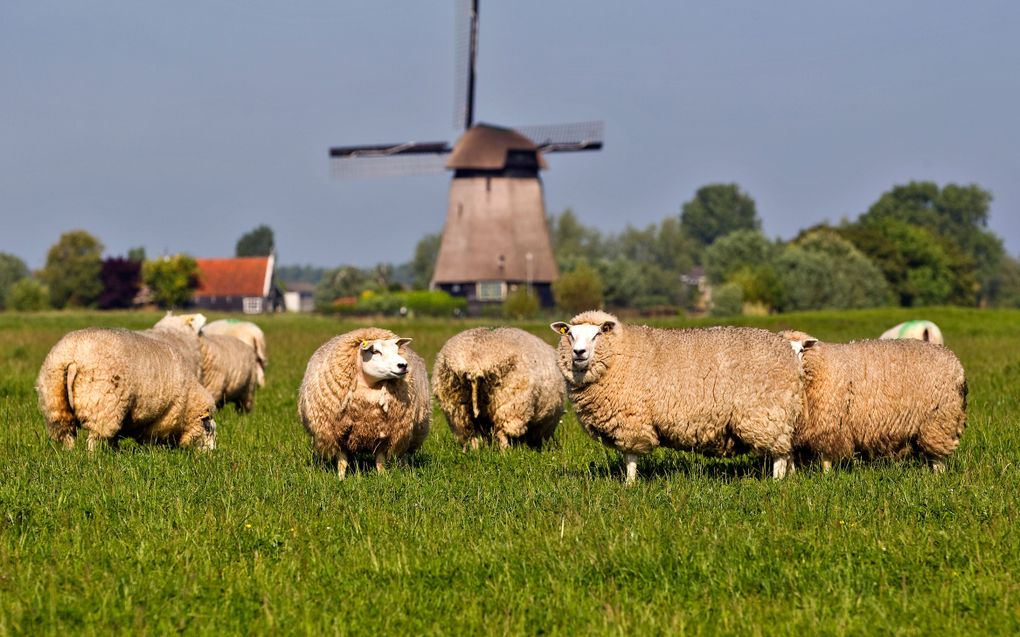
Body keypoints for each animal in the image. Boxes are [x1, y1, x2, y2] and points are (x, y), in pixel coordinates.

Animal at [35, 326, 217, 450]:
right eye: (208, 429)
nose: (211, 455)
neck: (188, 401)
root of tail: (74, 356)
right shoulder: (162, 417)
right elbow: (150, 440)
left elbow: (115, 437)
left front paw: (115, 452)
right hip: (103, 405)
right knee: (93, 438)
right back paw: (93, 459)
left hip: (55, 403)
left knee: (67, 435)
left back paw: (70, 455)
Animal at [299, 328, 432, 476]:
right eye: (375, 351)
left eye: (397, 350)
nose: (403, 365)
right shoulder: (336, 435)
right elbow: (342, 461)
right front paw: (340, 478)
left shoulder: (385, 434)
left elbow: (380, 461)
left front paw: (383, 477)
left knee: (404, 455)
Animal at [434, 326, 571, 450]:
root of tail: (475, 362)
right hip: (510, 403)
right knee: (502, 432)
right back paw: (506, 451)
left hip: (456, 406)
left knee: (469, 432)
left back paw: (473, 451)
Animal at [550, 309, 803, 481]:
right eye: (570, 334)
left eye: (596, 335)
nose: (578, 352)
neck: (620, 355)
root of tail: (788, 352)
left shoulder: (631, 419)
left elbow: (630, 457)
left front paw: (629, 485)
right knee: (787, 451)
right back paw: (790, 479)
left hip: (767, 413)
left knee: (780, 455)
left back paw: (776, 482)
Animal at [779, 328, 962, 472]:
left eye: (801, 350)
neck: (820, 366)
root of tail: (954, 359)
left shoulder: (828, 424)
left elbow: (826, 457)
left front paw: (826, 477)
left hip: (939, 419)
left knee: (938, 456)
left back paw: (938, 476)